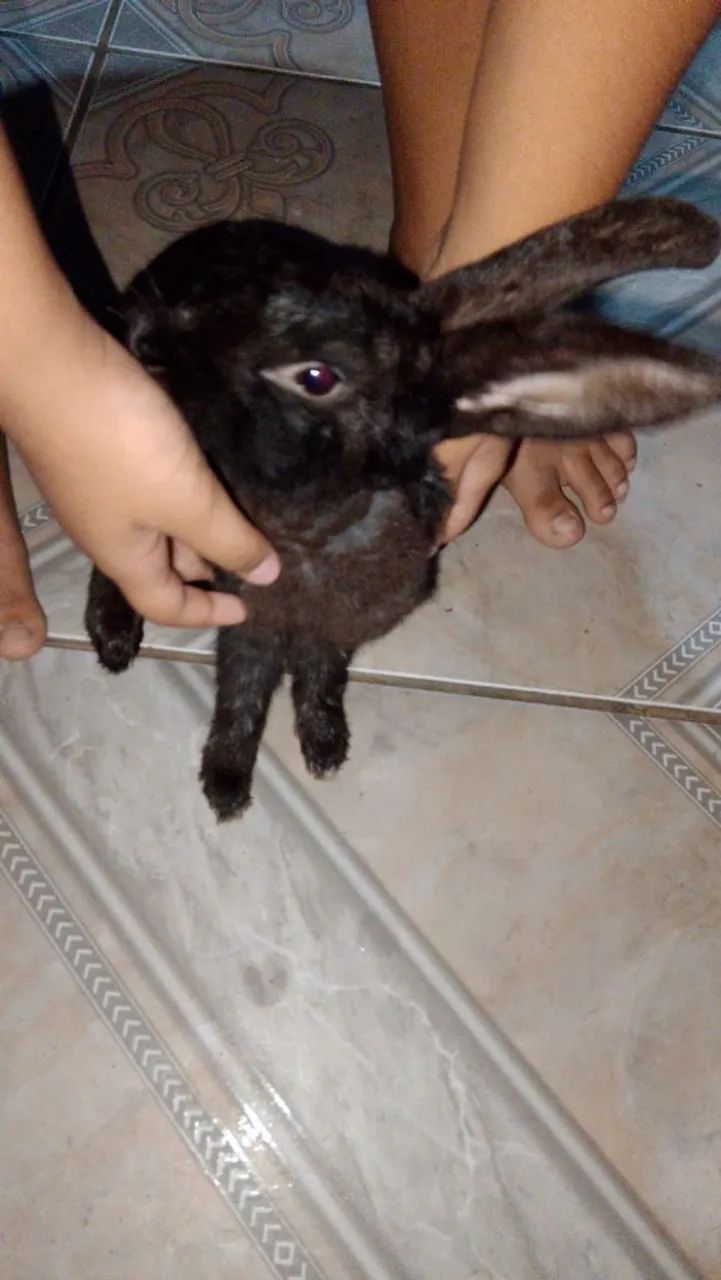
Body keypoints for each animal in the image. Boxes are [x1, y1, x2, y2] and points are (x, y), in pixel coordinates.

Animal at [85, 197, 721, 820]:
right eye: (252, 297)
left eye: (316, 377)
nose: (145, 343)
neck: (321, 534)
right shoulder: (248, 623)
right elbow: (241, 695)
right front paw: (225, 786)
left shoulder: (336, 634)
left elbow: (319, 676)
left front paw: (324, 745)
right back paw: (113, 640)